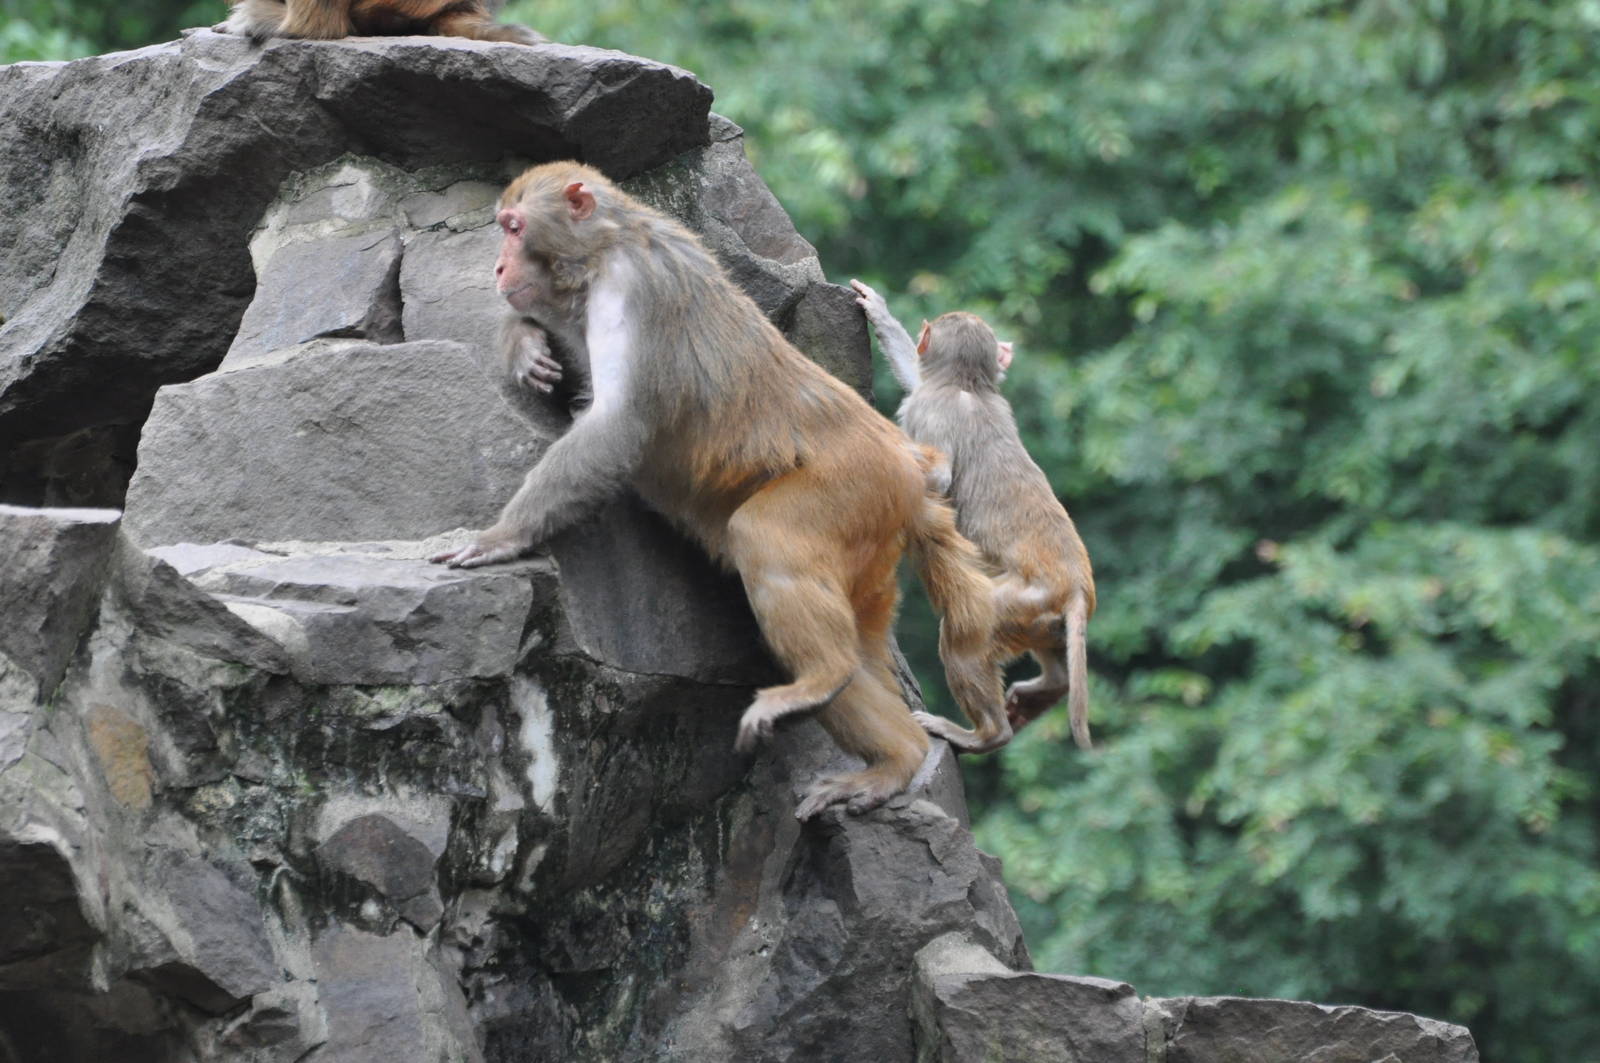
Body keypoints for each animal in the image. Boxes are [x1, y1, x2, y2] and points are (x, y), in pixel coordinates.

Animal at [430, 162, 1002, 819]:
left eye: (514, 228)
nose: (499, 268)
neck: (604, 249)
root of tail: (911, 474)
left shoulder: (630, 288)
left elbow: (615, 427)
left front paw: (503, 534)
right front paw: (524, 342)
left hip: (852, 487)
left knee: (765, 533)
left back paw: (822, 678)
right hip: (873, 542)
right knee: (860, 644)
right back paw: (895, 759)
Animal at [852, 279, 1096, 752]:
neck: (969, 384)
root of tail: (1076, 586)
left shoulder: (930, 408)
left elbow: (940, 476)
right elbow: (915, 374)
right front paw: (880, 313)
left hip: (1020, 602)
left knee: (966, 634)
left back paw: (985, 734)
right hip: (1044, 618)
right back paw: (1052, 684)